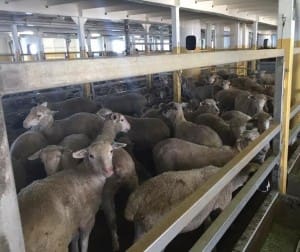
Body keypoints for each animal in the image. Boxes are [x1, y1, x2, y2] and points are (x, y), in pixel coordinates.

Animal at [124, 162, 258, 243]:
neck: (233, 180)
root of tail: (134, 202)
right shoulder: (223, 204)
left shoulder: (207, 210)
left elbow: (207, 222)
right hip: (149, 228)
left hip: (140, 229)